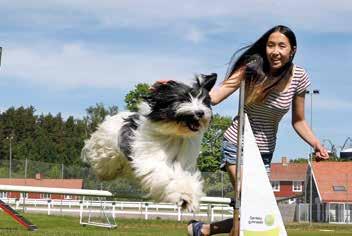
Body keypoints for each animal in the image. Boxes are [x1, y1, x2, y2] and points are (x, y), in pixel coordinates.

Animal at [81, 73, 216, 210]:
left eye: (204, 101)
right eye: (184, 99)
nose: (200, 113)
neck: (175, 134)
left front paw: (190, 195)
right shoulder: (151, 159)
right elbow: (168, 175)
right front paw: (185, 195)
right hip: (106, 149)